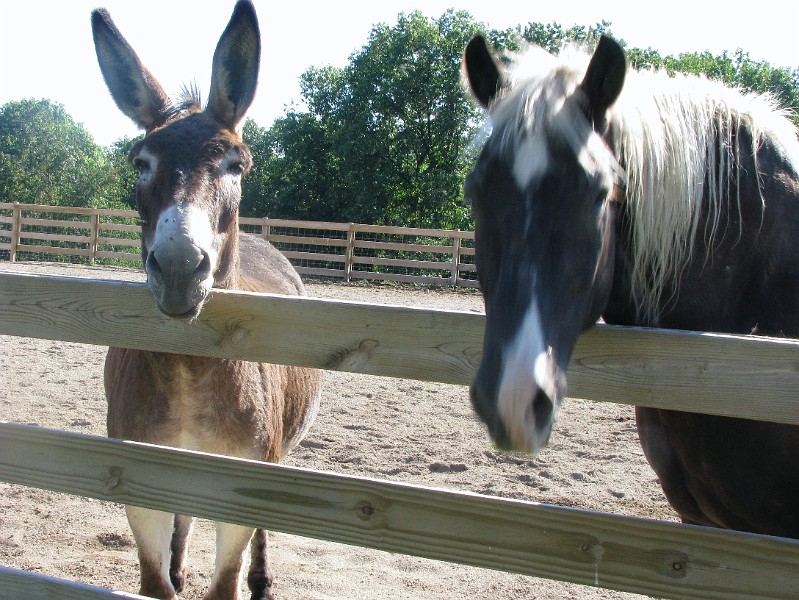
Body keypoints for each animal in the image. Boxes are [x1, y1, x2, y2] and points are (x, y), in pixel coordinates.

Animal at [91, 2, 322, 596]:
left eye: (236, 165)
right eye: (140, 163)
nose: (178, 267)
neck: (188, 377)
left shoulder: (237, 483)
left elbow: (225, 582)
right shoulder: (142, 482)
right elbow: (155, 581)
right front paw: (169, 572)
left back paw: (263, 580)